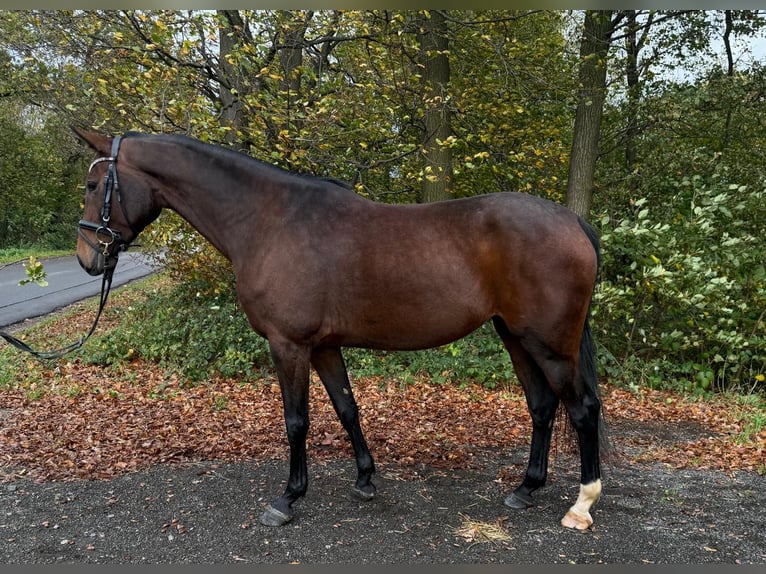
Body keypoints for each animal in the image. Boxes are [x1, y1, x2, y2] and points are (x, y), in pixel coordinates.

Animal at [72, 128, 604, 530]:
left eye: (95, 185)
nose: (87, 258)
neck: (269, 220)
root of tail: (573, 222)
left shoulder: (288, 345)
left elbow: (297, 421)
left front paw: (287, 499)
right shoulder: (324, 346)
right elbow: (347, 409)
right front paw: (365, 481)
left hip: (550, 345)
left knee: (582, 409)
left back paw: (581, 506)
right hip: (515, 337)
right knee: (542, 406)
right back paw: (525, 489)